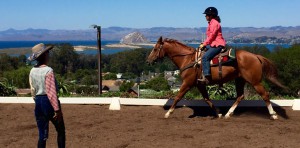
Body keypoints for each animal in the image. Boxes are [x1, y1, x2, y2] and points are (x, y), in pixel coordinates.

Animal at [146, 36, 288, 119]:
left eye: (155, 48)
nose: (148, 61)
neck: (188, 59)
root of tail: (256, 56)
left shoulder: (187, 83)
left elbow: (178, 97)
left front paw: (168, 113)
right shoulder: (200, 84)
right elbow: (207, 99)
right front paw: (218, 113)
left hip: (255, 81)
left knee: (265, 95)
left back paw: (273, 115)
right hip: (240, 80)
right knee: (240, 96)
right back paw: (228, 113)